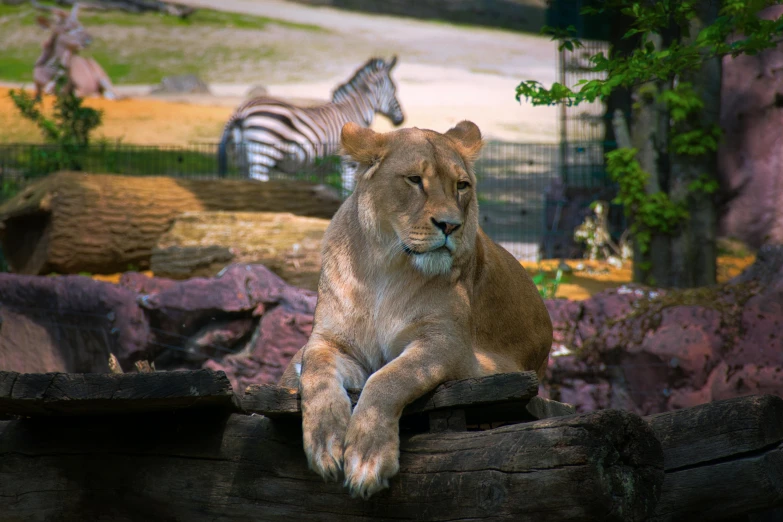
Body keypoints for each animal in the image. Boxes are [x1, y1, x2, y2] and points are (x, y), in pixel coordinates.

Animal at [219, 56, 408, 187]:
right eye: (394, 90)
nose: (401, 120)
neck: (353, 111)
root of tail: (242, 111)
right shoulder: (348, 163)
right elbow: (346, 190)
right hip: (263, 154)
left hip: (241, 157)